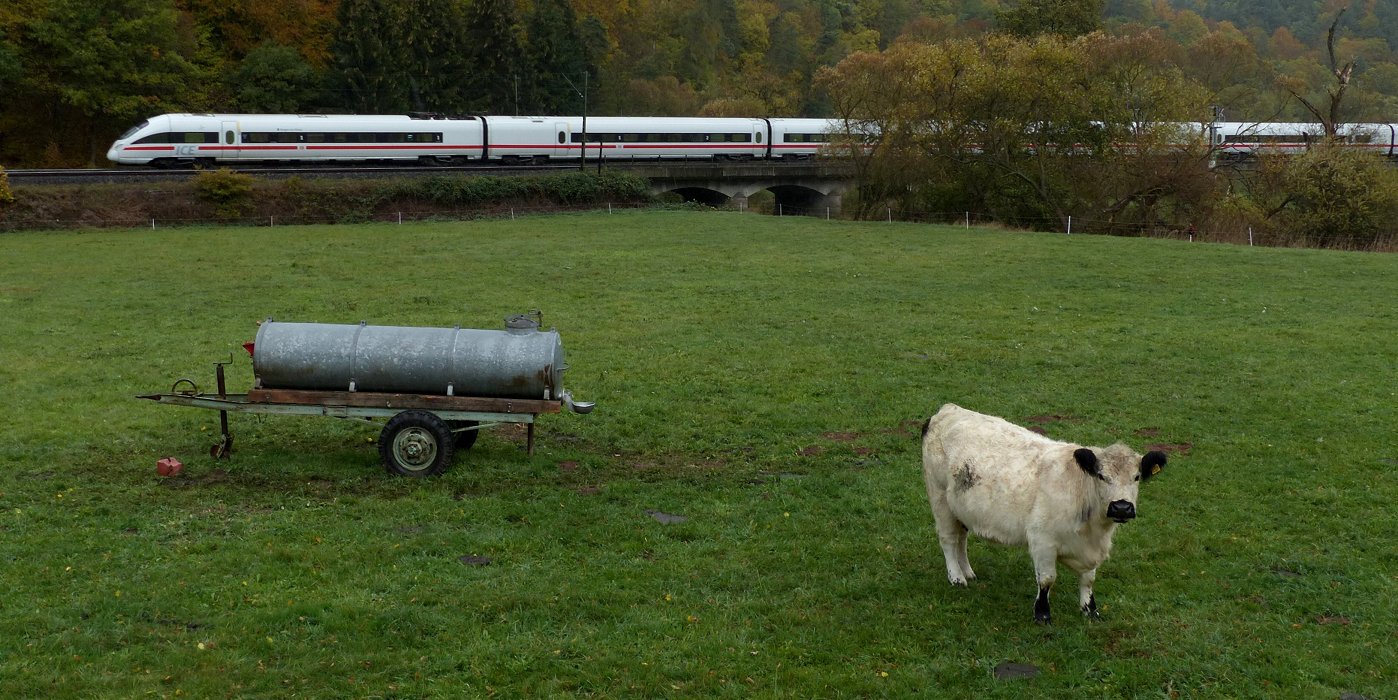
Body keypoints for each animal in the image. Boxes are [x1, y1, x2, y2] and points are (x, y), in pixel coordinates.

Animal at [917, 405, 1168, 623]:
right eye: (1101, 476)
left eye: (1137, 477)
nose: (1121, 507)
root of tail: (949, 410)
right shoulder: (1042, 541)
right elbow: (1047, 579)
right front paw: (1042, 614)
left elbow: (1088, 580)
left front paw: (1090, 610)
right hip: (940, 500)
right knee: (949, 539)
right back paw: (957, 577)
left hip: (961, 509)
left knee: (962, 538)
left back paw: (967, 572)